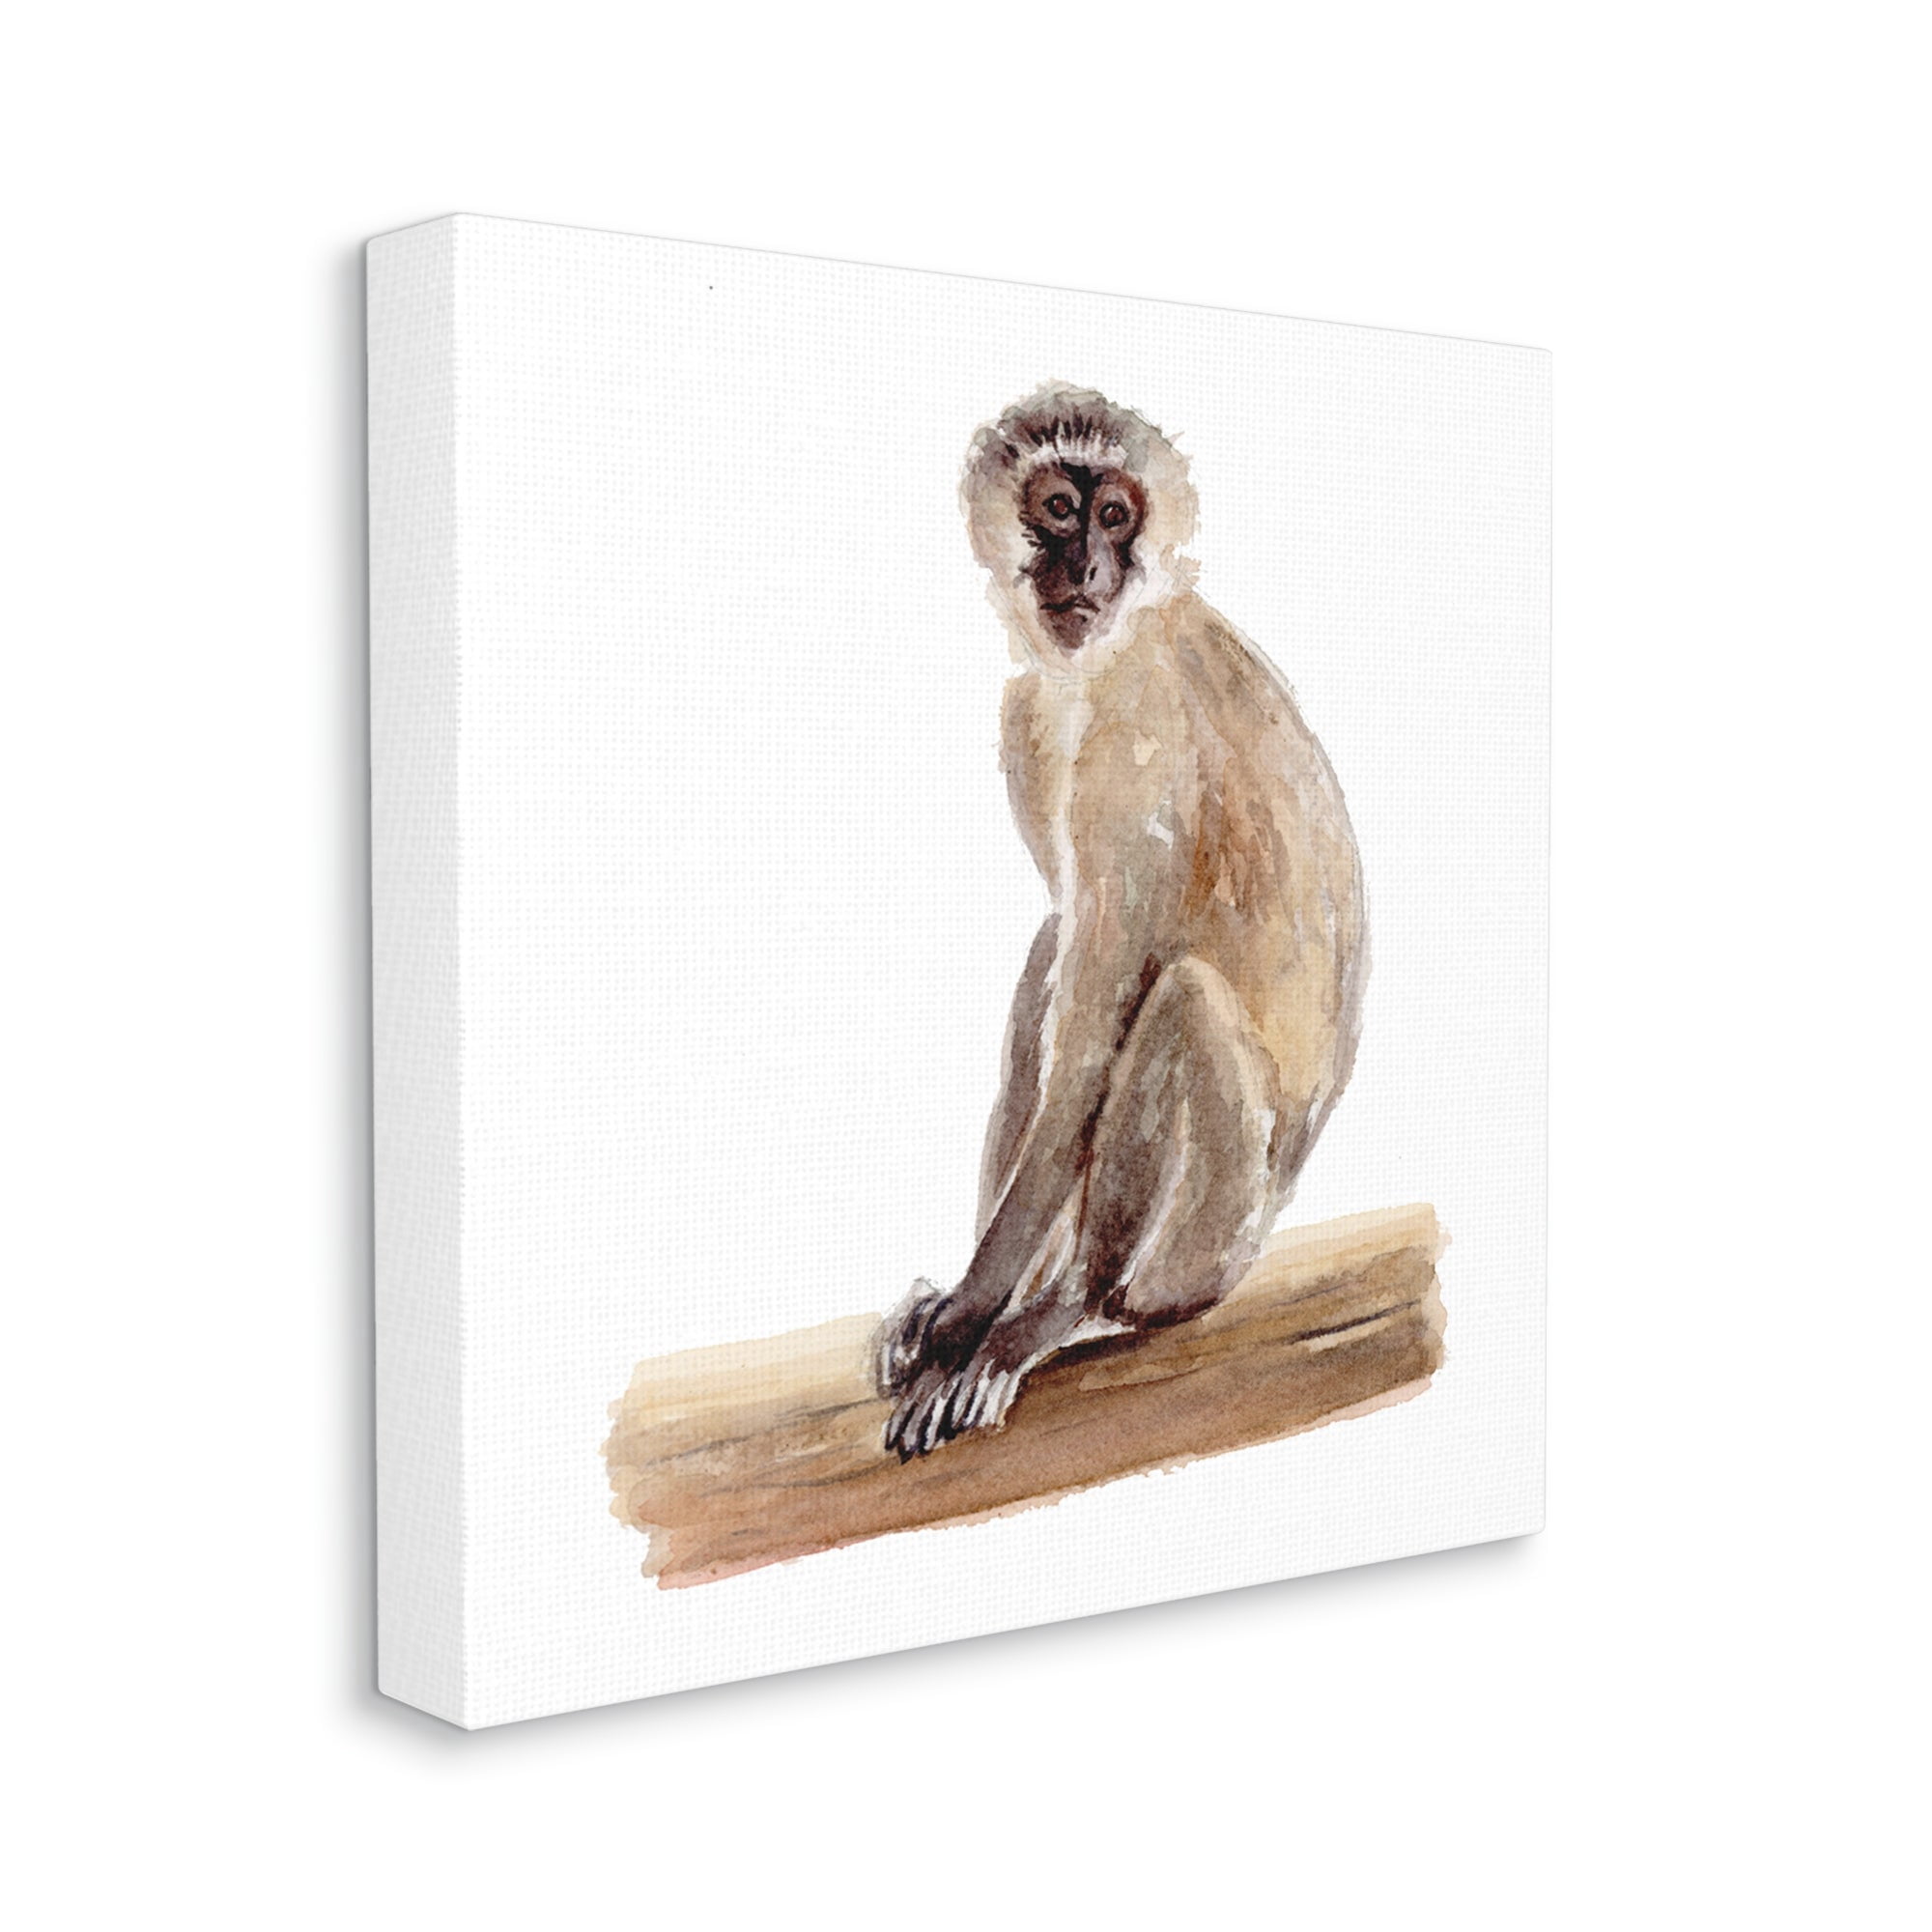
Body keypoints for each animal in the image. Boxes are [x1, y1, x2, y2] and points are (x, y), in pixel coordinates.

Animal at [876, 384, 1368, 1459]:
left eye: (1113, 516)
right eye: (1060, 509)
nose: (1091, 567)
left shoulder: (1138, 738)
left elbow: (1099, 1030)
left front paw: (974, 1312)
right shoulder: (1029, 710)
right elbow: (1065, 970)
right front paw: (956, 1306)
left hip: (1213, 1241)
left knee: (1177, 998)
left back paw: (1067, 1305)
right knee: (1056, 947)